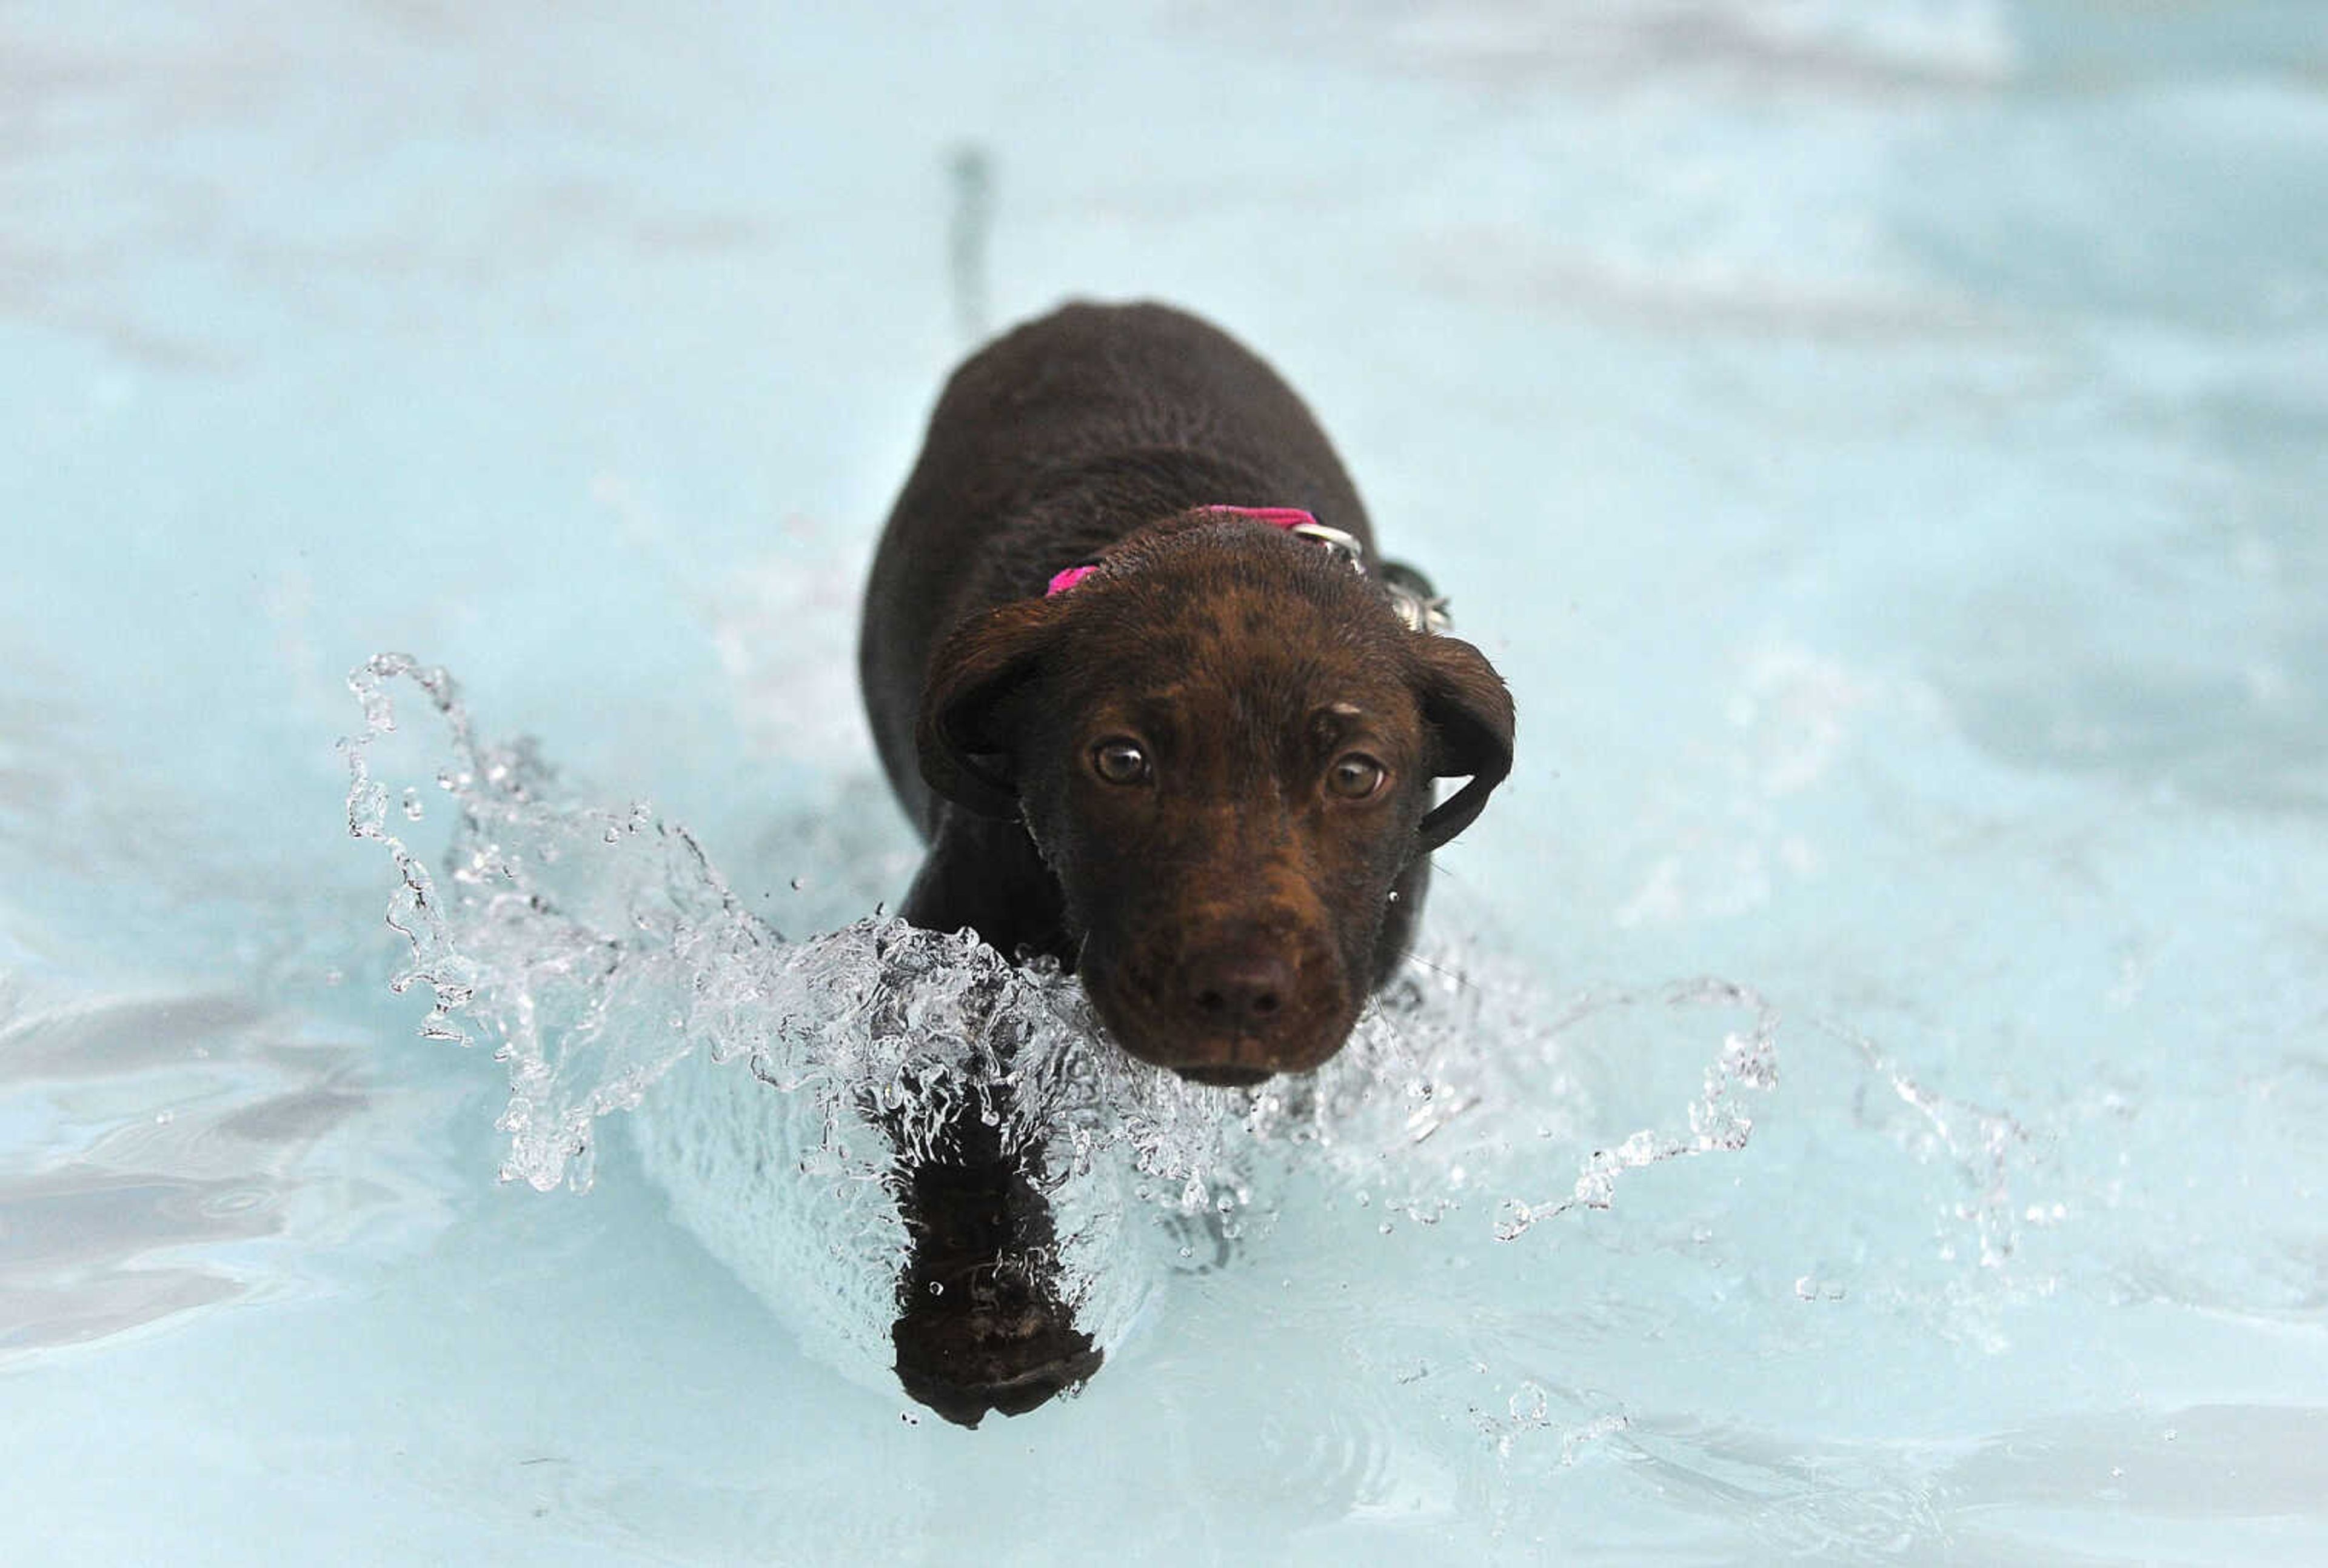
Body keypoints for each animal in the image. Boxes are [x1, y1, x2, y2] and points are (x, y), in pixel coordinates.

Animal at [857, 300, 1508, 1424]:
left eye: (1357, 773)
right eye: (1122, 761)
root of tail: (1091, 304)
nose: (1242, 991)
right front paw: (992, 1326)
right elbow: (967, 1144)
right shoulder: (937, 982)